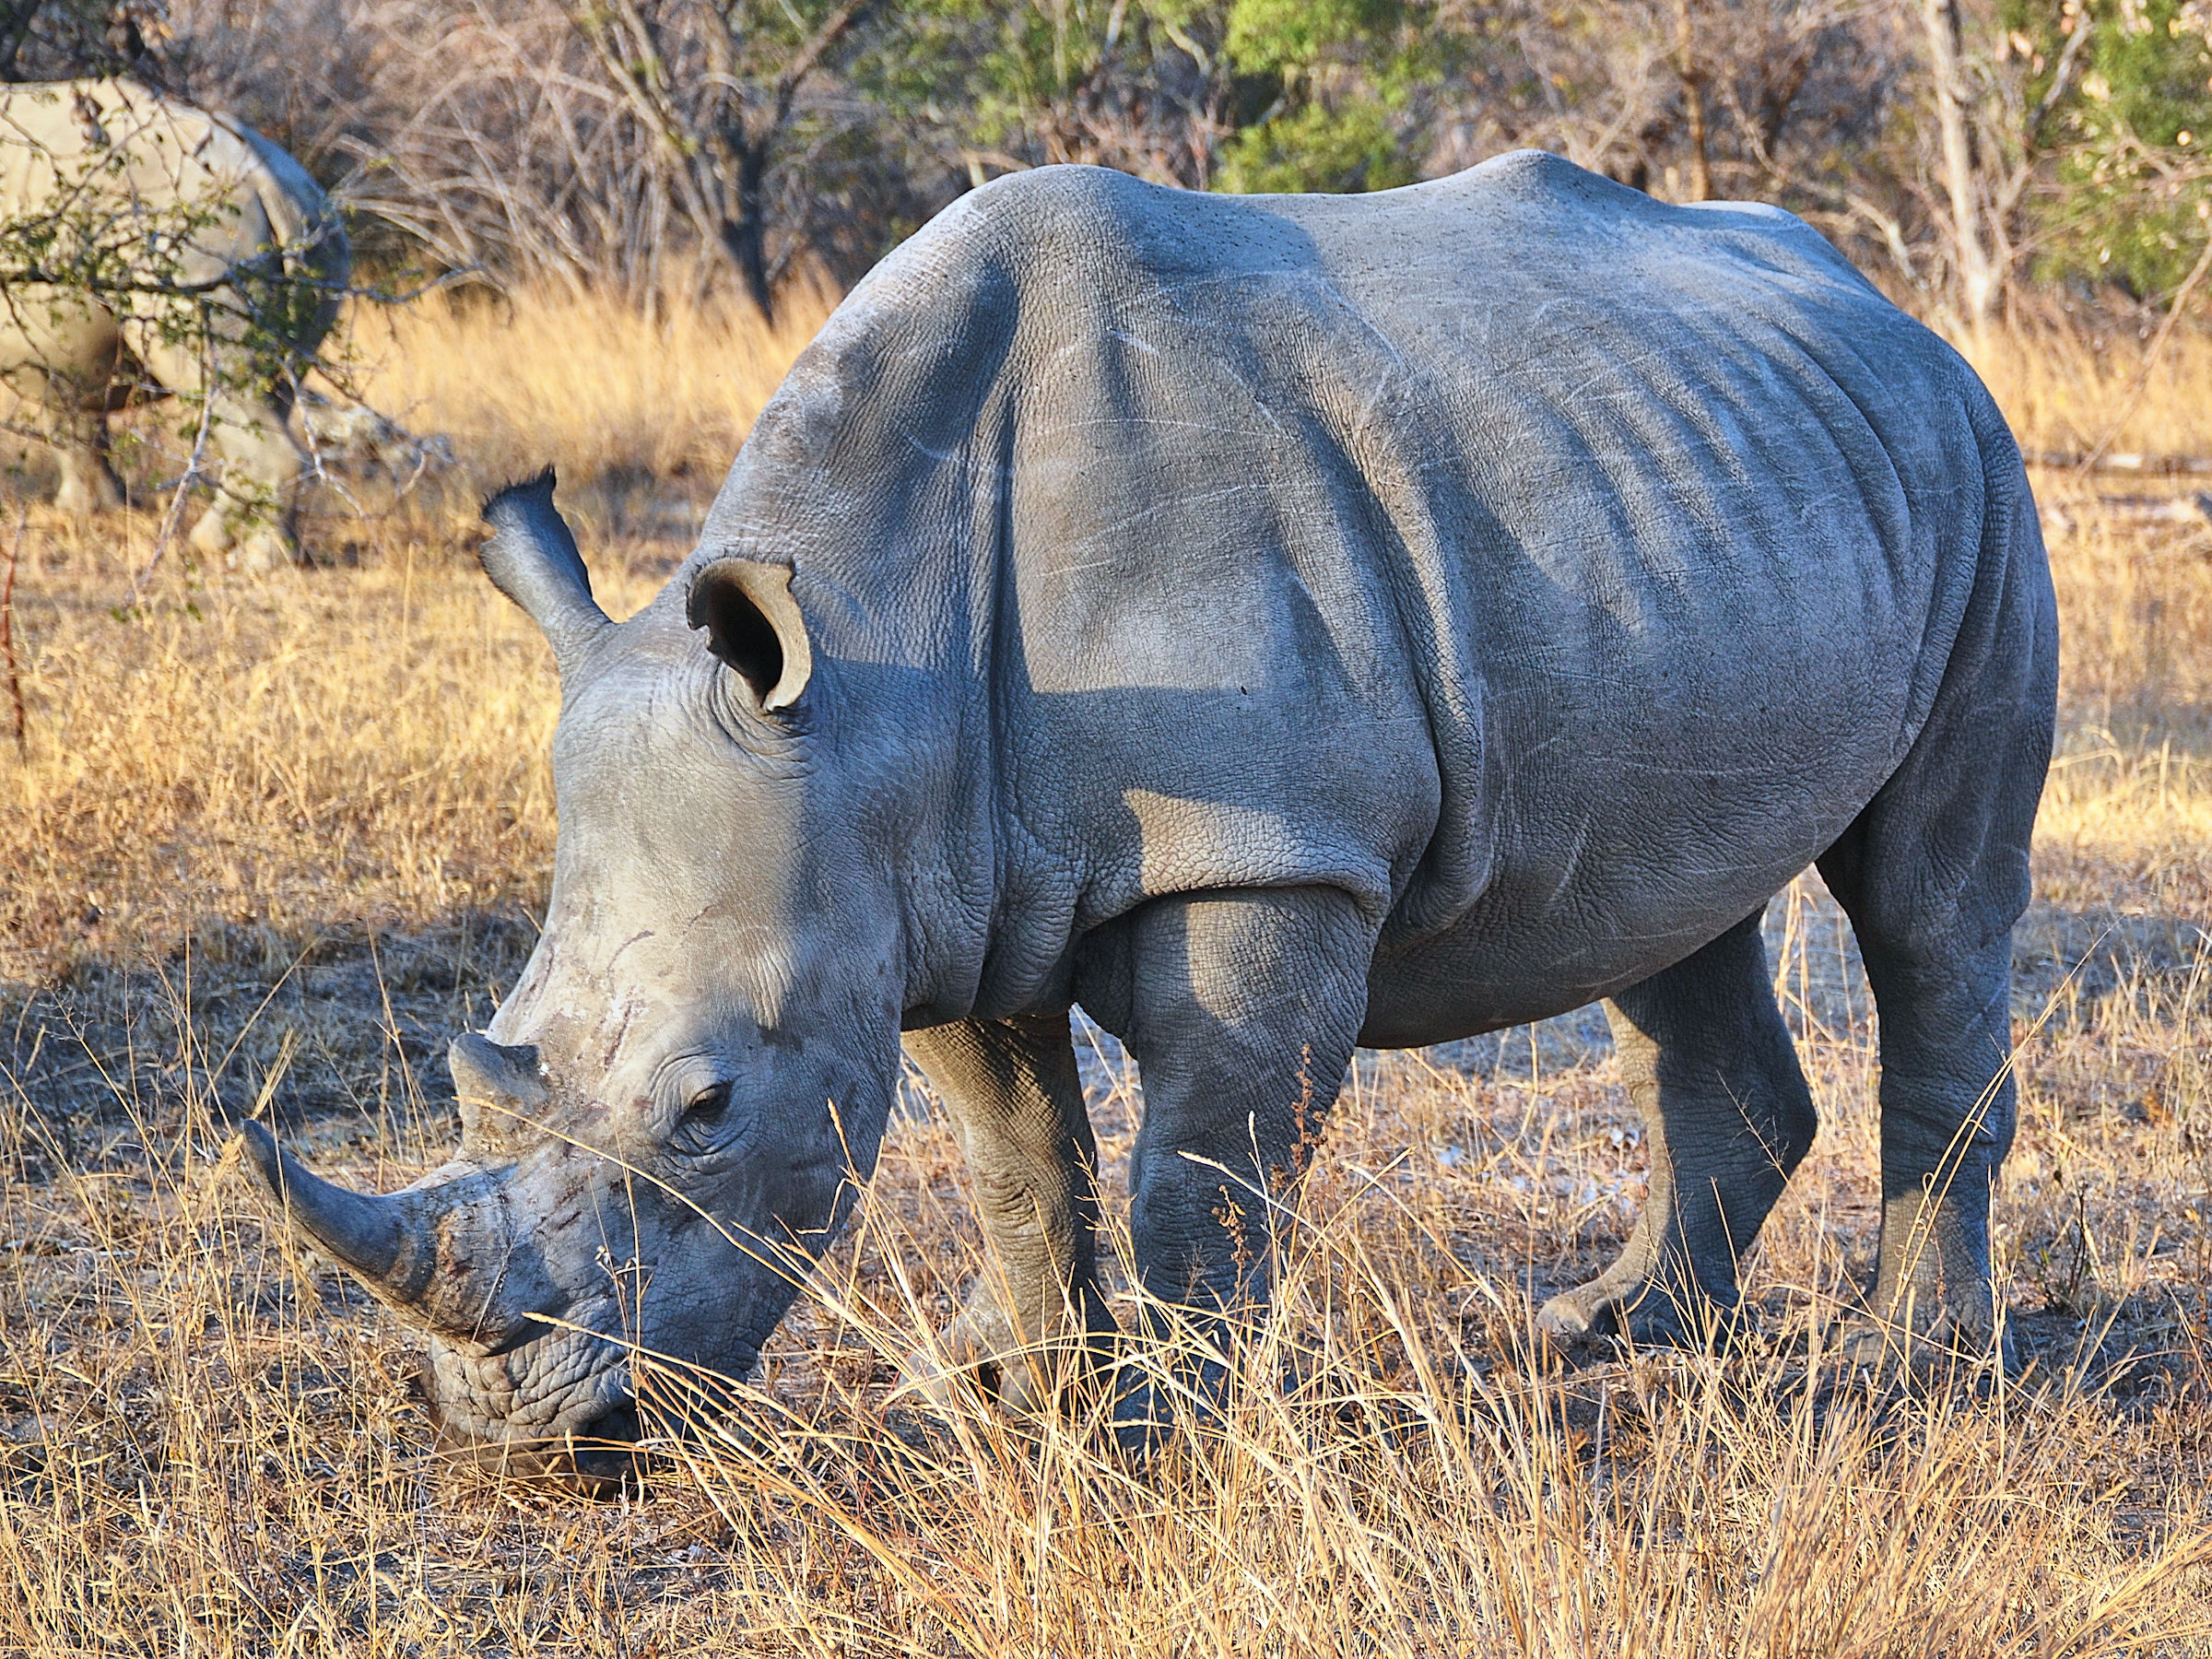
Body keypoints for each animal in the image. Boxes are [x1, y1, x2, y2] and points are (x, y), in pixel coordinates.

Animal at [0, 78, 347, 568]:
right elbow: (74, 400)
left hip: (196, 241)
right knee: (267, 390)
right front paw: (101, 510)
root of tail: (270, 182)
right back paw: (215, 541)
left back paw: (254, 561)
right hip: (315, 231)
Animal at [240, 152, 2056, 1484]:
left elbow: (1207, 1167)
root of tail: (1883, 305)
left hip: (1982, 474)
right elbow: (1015, 1155)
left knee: (1931, 906)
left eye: (707, 1109)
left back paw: (1914, 1375)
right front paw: (1024, 1394)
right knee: (1664, 915)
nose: (536, 1439)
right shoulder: (932, 879)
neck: (877, 654)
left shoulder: (1260, 849)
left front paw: (1164, 1439)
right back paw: (1605, 1334)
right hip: (1706, 504)